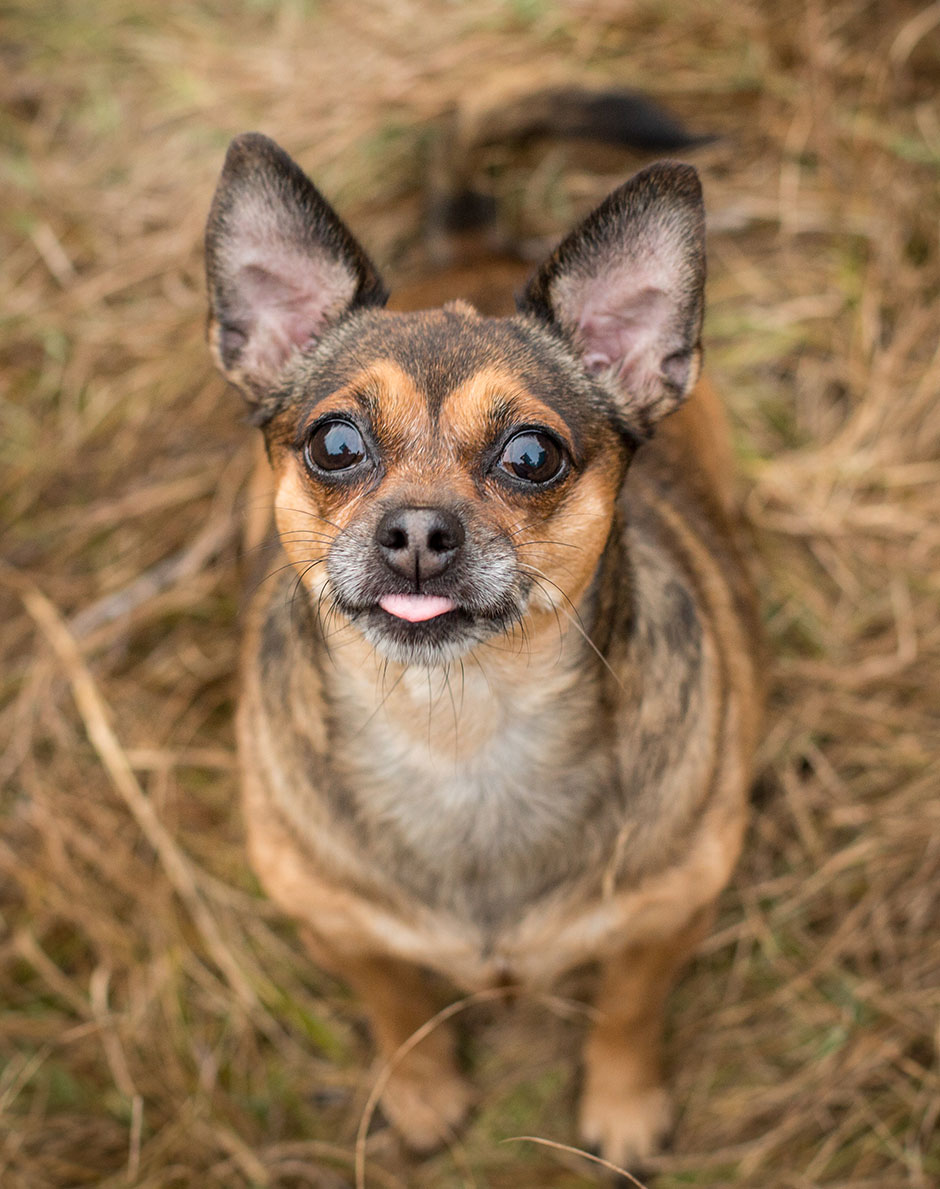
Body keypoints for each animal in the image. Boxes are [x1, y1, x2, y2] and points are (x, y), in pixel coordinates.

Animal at [205, 123, 765, 1169]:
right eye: (334, 444)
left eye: (532, 456)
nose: (419, 532)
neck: (458, 733)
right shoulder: (338, 928)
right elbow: (396, 1004)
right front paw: (422, 1091)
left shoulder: (667, 921)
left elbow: (627, 1010)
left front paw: (622, 1104)